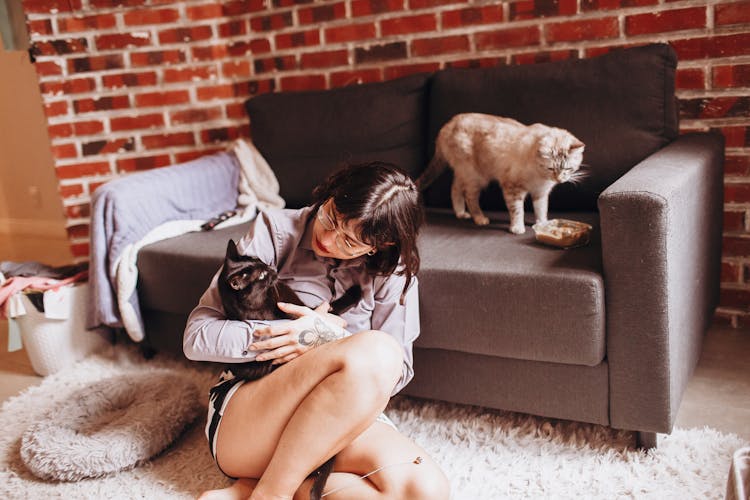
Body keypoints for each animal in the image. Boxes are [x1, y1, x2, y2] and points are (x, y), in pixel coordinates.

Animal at [217, 239, 362, 500]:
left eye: (260, 261)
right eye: (261, 275)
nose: (272, 269)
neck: (263, 306)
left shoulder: (300, 307)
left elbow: (325, 310)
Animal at [418, 113, 588, 234]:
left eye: (568, 169)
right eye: (551, 169)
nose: (559, 179)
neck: (540, 176)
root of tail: (449, 124)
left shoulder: (540, 192)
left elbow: (541, 209)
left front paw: (542, 224)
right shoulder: (512, 188)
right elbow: (517, 211)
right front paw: (517, 228)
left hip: (465, 173)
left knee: (455, 188)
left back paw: (461, 213)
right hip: (475, 177)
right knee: (470, 197)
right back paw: (479, 218)